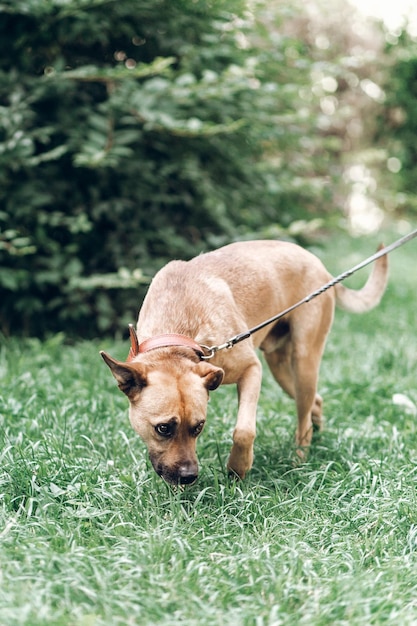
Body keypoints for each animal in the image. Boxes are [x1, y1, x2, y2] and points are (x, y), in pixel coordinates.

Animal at [101, 239, 386, 482]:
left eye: (198, 426)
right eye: (163, 429)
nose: (189, 477)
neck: (177, 337)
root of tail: (320, 266)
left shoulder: (251, 370)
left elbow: (244, 430)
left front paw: (238, 468)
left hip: (303, 362)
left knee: (303, 418)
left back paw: (299, 459)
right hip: (282, 370)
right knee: (315, 402)